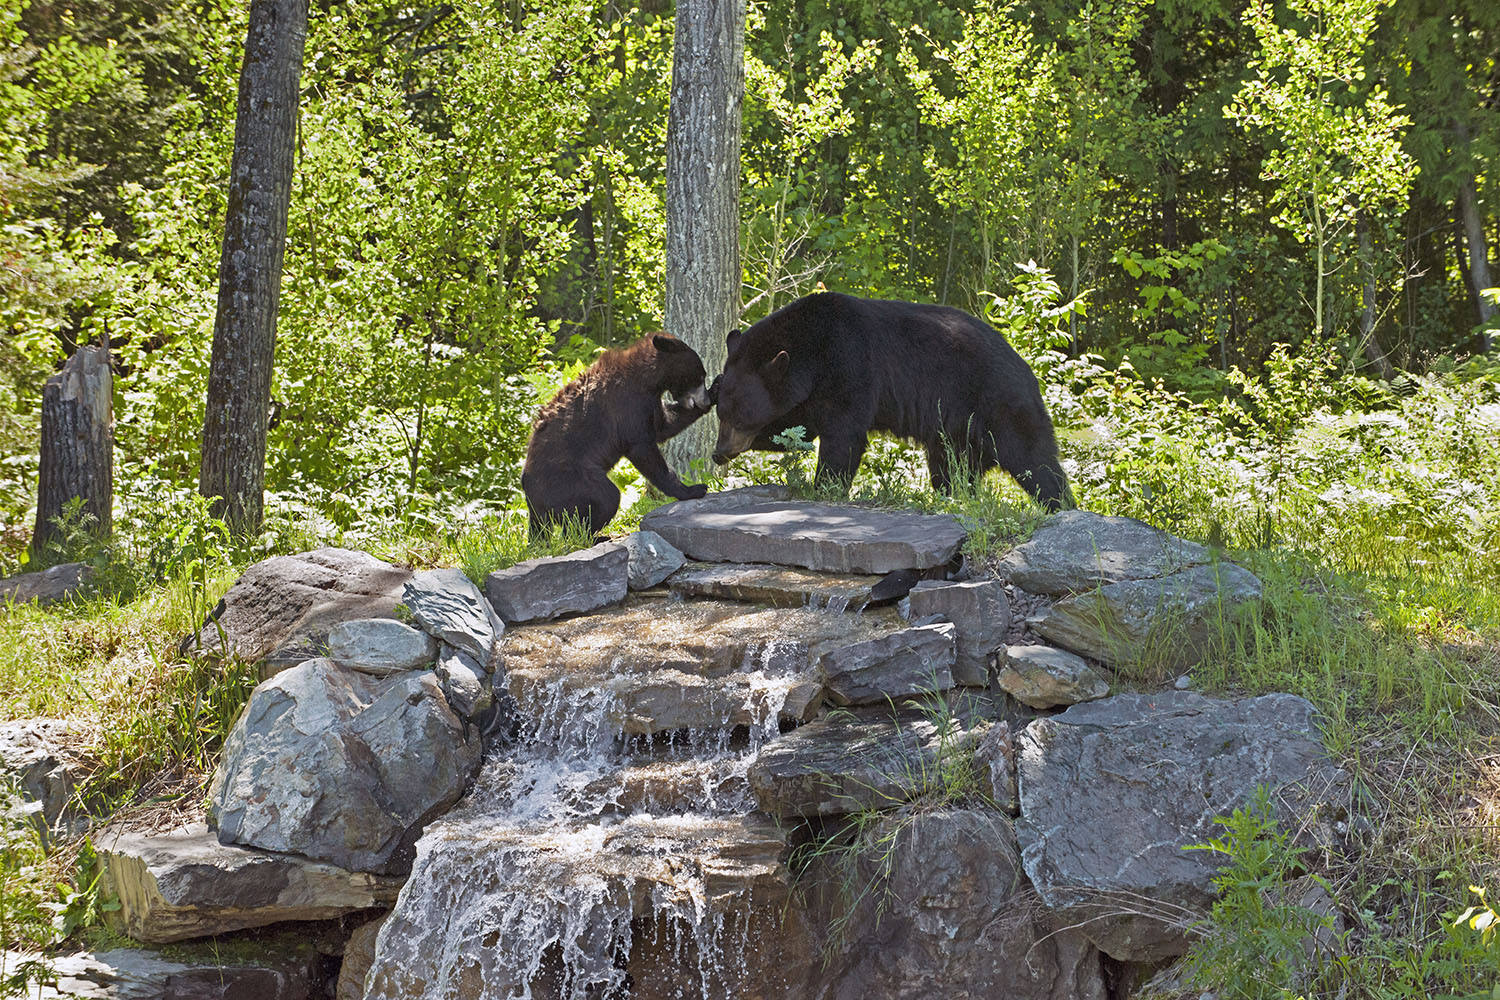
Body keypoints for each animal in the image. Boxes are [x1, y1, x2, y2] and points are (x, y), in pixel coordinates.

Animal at [523, 333, 712, 539]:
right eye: (700, 375)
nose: (705, 401)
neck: (647, 379)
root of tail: (530, 496)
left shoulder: (650, 402)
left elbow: (665, 425)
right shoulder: (628, 405)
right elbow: (643, 449)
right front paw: (693, 489)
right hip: (572, 479)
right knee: (606, 498)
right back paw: (593, 535)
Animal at [710, 292, 1073, 510]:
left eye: (738, 418)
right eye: (722, 416)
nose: (719, 453)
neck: (812, 350)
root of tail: (1026, 369)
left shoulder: (850, 364)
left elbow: (843, 435)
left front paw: (825, 485)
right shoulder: (808, 393)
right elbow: (794, 428)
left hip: (999, 404)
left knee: (1035, 461)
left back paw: (1061, 505)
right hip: (954, 433)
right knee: (951, 470)